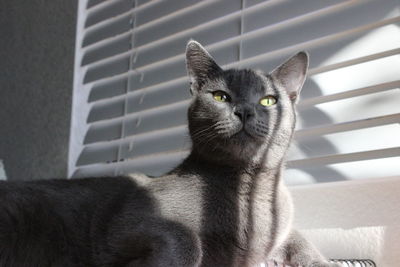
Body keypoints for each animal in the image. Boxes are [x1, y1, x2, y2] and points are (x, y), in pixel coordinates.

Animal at [0, 40, 340, 267]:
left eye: (269, 101)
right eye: (221, 96)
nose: (244, 110)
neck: (248, 192)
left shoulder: (280, 231)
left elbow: (299, 239)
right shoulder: (130, 220)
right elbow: (185, 239)